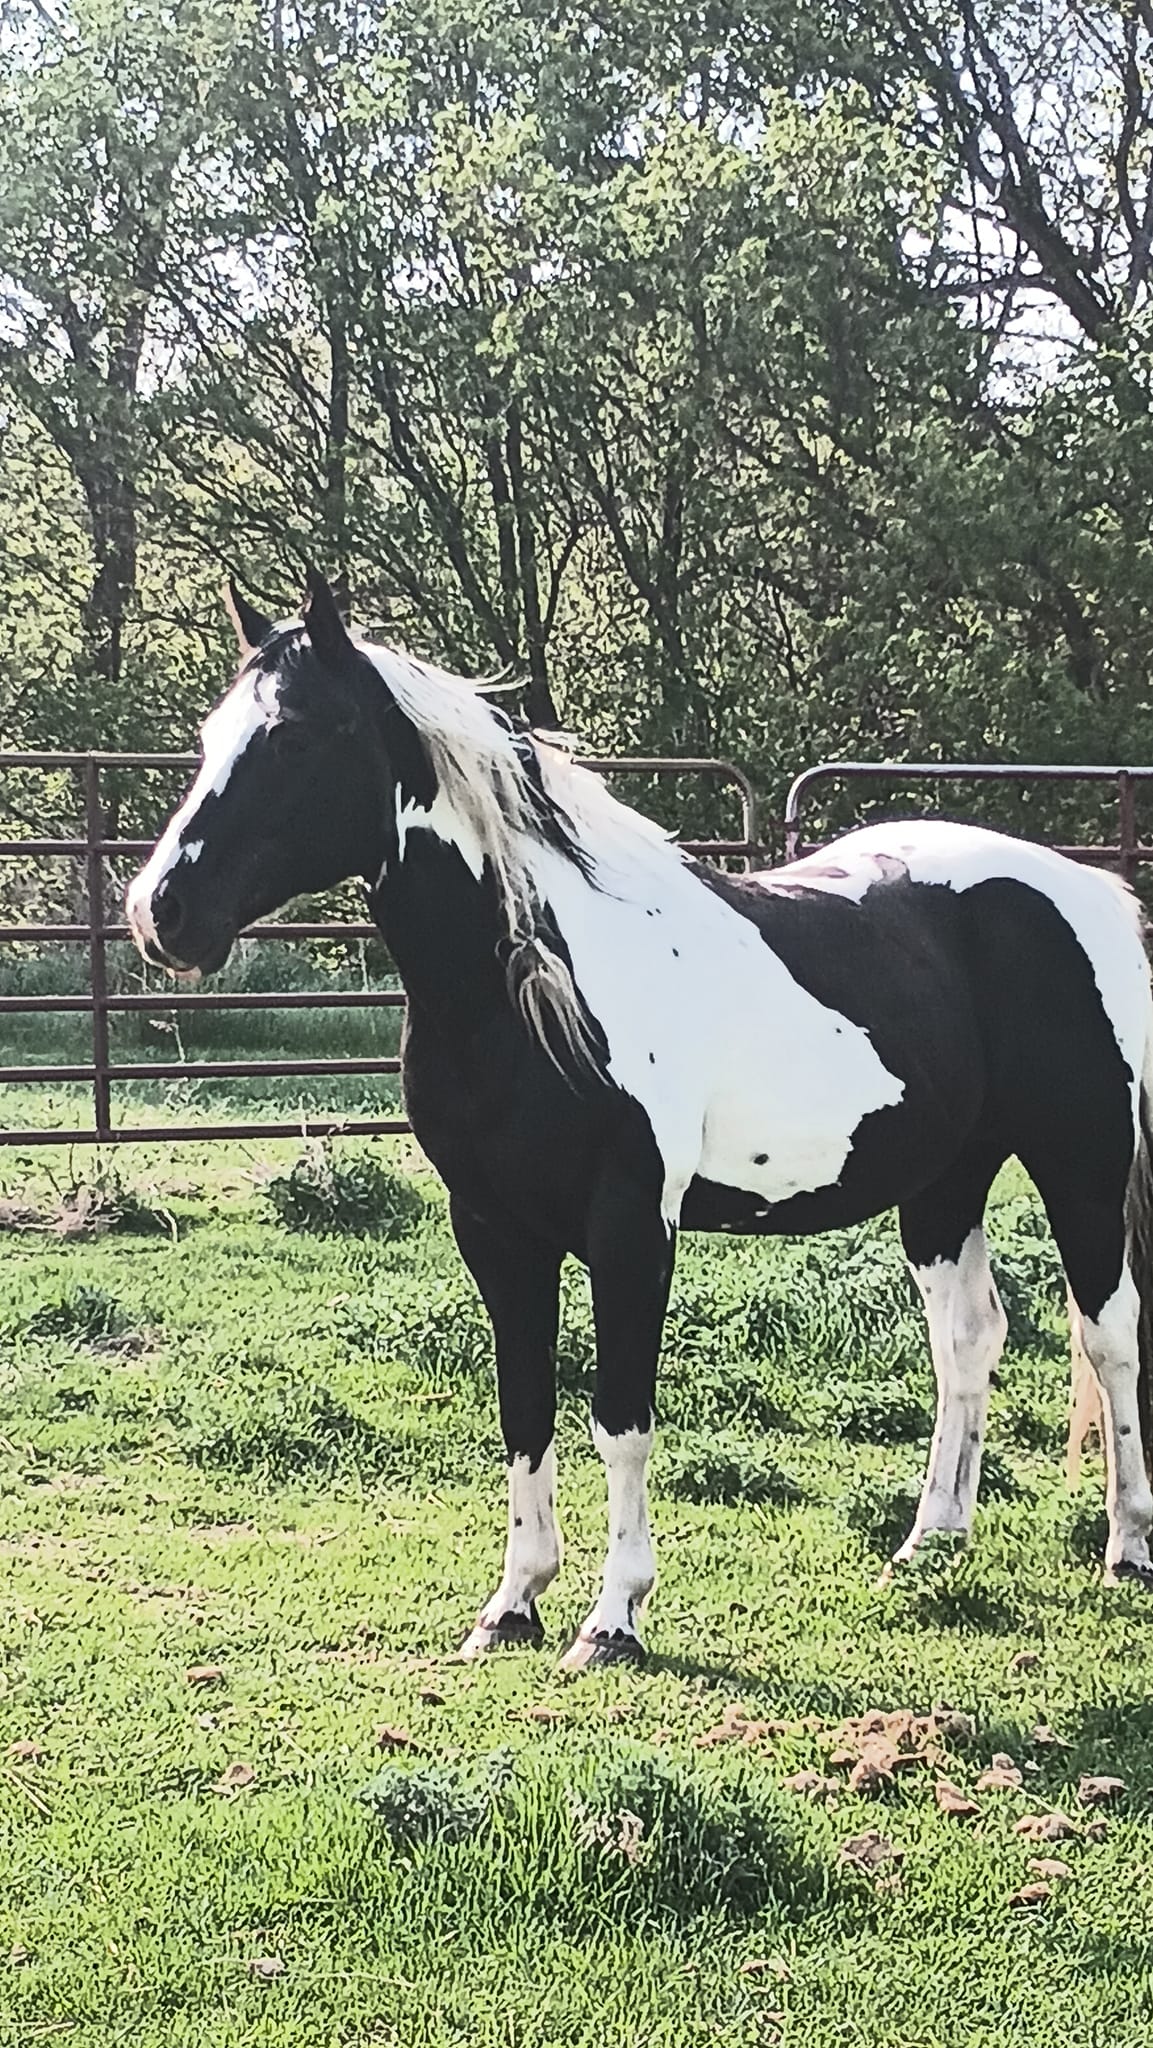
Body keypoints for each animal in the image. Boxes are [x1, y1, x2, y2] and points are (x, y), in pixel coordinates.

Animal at [126, 569, 1153, 1669]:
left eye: (296, 736)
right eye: (208, 735)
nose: (159, 911)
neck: (533, 988)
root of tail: (1084, 886)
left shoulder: (628, 1230)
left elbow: (618, 1419)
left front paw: (611, 1618)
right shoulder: (493, 1231)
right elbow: (524, 1410)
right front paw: (511, 1605)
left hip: (1081, 1164)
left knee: (1108, 1334)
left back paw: (1125, 1549)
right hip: (943, 1182)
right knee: (967, 1339)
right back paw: (928, 1543)